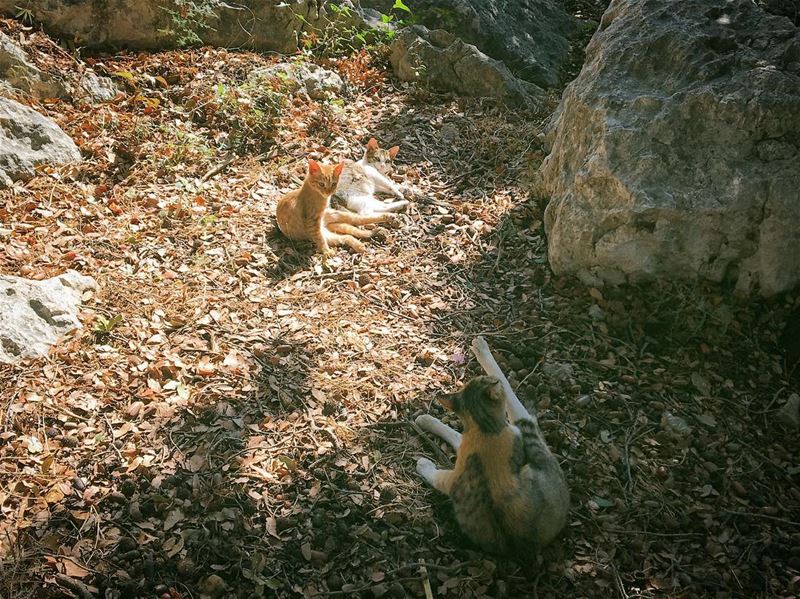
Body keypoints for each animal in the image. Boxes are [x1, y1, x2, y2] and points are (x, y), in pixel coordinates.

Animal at [412, 338, 568, 556]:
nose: (492, 379)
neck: (484, 429)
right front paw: (423, 464)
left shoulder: (461, 465)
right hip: (530, 440)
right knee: (516, 405)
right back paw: (482, 350)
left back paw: (425, 419)